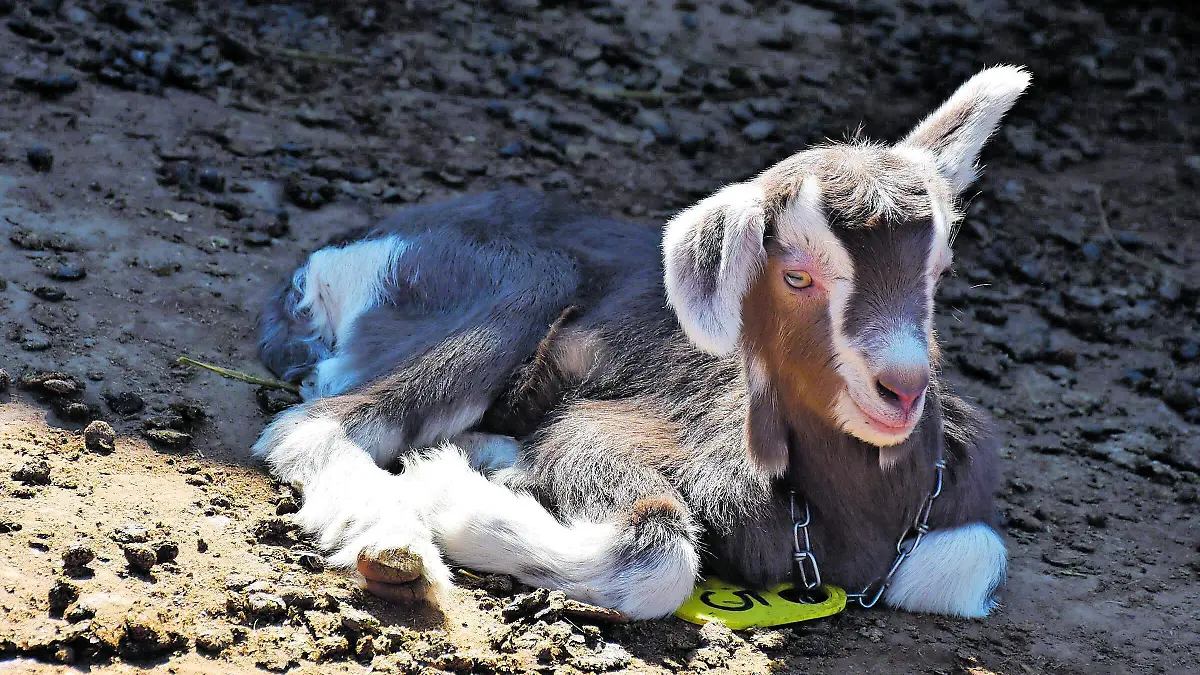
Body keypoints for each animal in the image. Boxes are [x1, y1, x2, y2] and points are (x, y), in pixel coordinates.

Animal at [253, 66, 1030, 620]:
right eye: (796, 275)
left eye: (939, 269)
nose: (900, 390)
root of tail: (329, 261)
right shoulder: (605, 433)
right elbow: (663, 556)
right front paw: (445, 490)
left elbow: (963, 559)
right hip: (513, 288)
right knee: (313, 425)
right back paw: (400, 545)